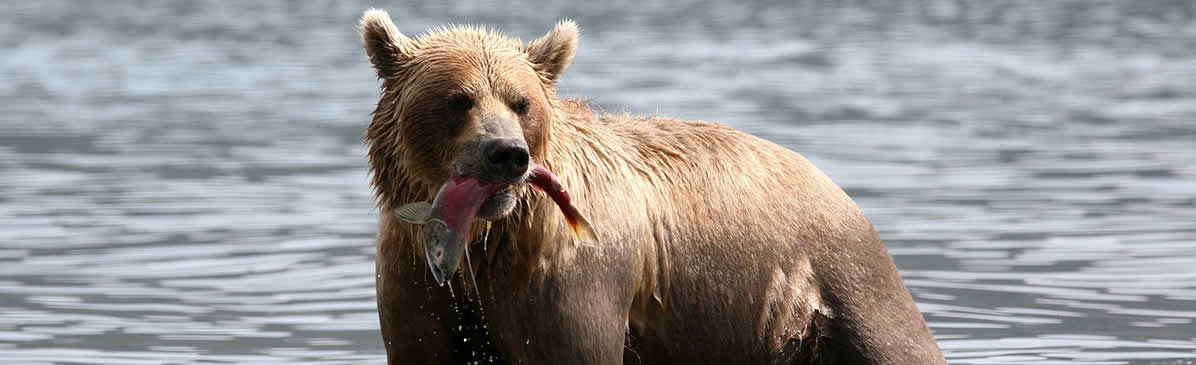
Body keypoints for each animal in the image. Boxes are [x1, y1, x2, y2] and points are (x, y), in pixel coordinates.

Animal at [354, 8, 942, 363]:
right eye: (458, 99)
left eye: (521, 102)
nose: (507, 155)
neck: (488, 241)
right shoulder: (414, 278)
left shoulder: (572, 277)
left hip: (845, 278)